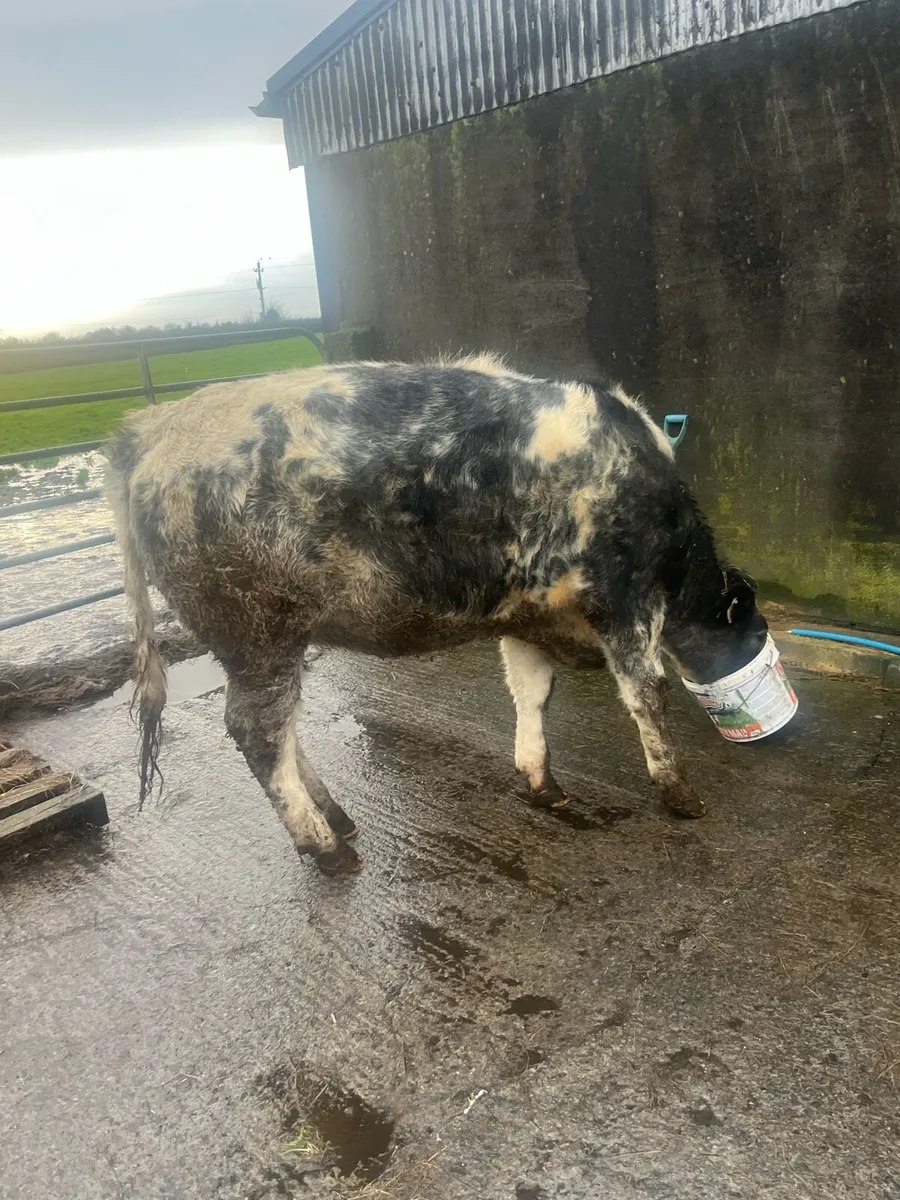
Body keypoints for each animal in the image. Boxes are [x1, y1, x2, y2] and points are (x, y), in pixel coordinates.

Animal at [104, 354, 768, 874]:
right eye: (755, 627)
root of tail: (153, 428)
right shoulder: (627, 598)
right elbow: (647, 694)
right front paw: (681, 797)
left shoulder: (525, 616)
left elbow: (532, 693)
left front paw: (541, 781)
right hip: (256, 631)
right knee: (257, 732)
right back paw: (326, 848)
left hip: (269, 640)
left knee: (281, 730)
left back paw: (337, 818)